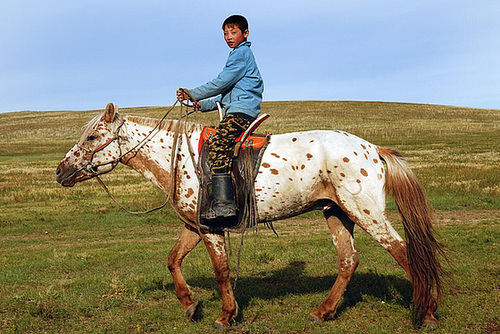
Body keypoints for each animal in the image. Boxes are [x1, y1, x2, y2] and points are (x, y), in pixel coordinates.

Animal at [55, 103, 446, 328]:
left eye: (92, 137)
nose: (61, 171)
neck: (178, 156)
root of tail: (372, 148)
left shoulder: (211, 228)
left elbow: (221, 270)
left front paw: (225, 315)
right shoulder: (194, 225)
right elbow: (173, 259)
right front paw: (189, 305)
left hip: (366, 212)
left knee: (404, 253)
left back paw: (426, 313)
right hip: (336, 213)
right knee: (348, 260)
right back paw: (323, 312)